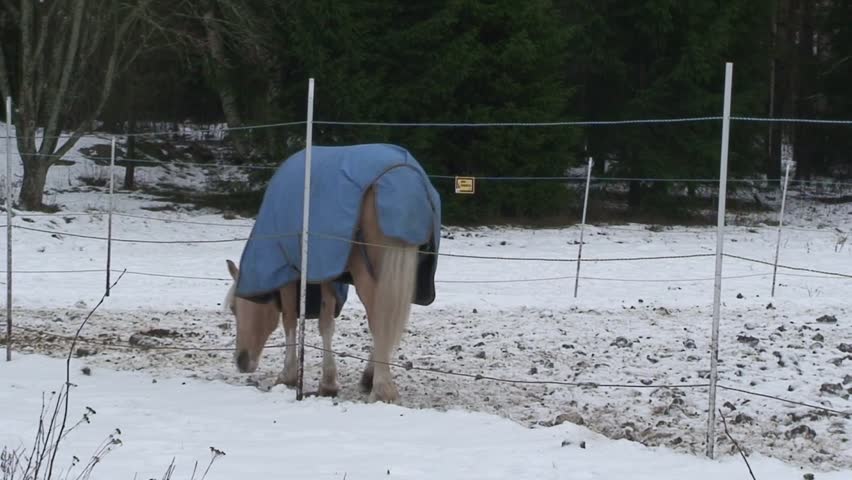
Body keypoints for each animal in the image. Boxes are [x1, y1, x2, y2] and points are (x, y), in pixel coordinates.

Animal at [224, 144, 441, 404]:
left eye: (235, 308)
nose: (240, 361)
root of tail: (404, 176)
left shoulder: (290, 273)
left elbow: (290, 321)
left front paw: (288, 375)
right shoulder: (328, 273)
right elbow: (326, 323)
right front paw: (328, 383)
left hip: (367, 273)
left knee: (379, 318)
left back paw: (381, 388)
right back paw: (371, 378)